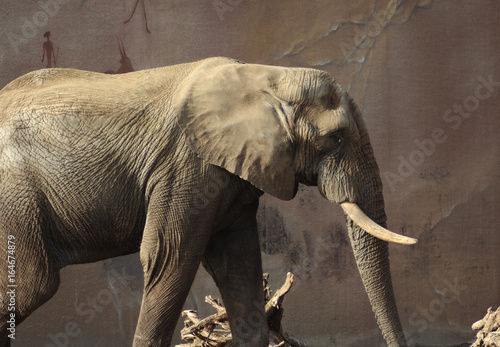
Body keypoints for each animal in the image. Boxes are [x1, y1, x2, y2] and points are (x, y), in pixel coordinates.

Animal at [0, 57, 416, 347]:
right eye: (336, 138)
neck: (267, 77)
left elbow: (240, 264)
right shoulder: (185, 166)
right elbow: (169, 256)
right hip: (15, 198)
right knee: (34, 283)